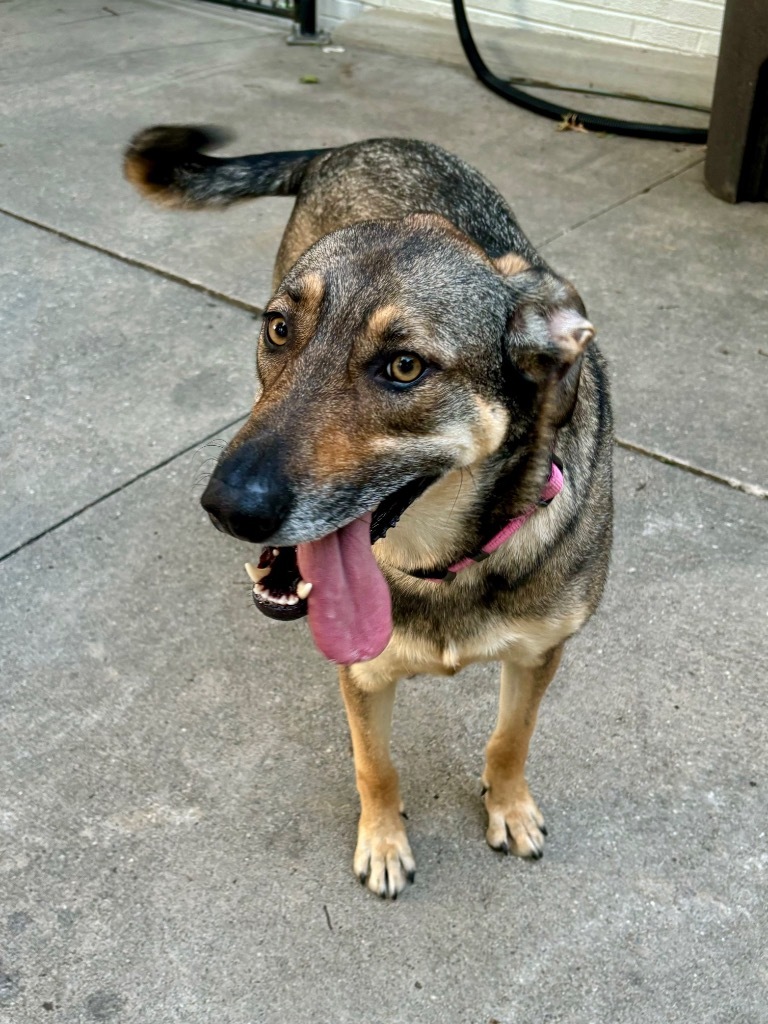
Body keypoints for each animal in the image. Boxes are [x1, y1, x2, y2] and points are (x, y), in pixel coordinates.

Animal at [124, 125, 614, 897]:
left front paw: (508, 807)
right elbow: (374, 764)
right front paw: (383, 843)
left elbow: (511, 738)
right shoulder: (362, 674)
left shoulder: (540, 653)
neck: (444, 563)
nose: (227, 508)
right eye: (279, 330)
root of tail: (352, 144)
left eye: (405, 367)